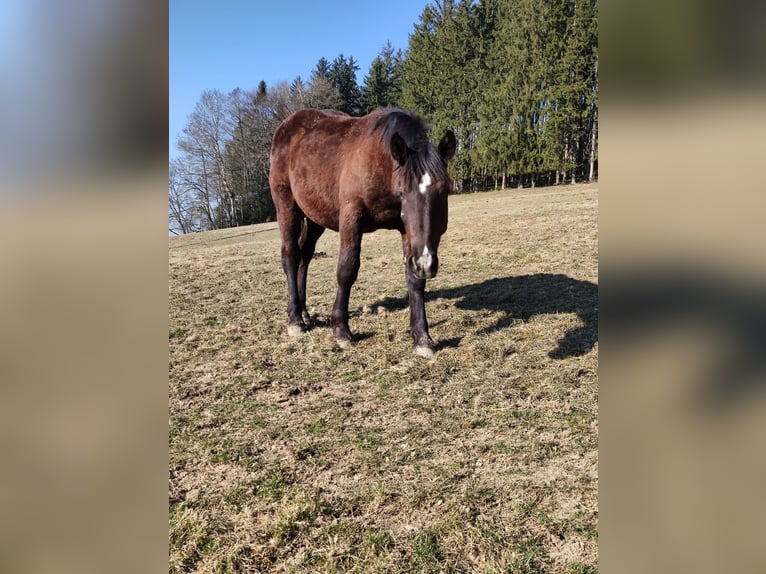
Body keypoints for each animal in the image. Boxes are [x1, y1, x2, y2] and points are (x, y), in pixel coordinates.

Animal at [270, 107, 456, 358]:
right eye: (403, 193)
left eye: (444, 191)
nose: (426, 263)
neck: (381, 163)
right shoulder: (351, 216)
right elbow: (346, 270)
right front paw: (341, 331)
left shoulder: (407, 232)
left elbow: (414, 280)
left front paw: (422, 338)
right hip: (286, 205)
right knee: (290, 255)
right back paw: (295, 320)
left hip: (315, 218)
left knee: (304, 257)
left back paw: (304, 313)